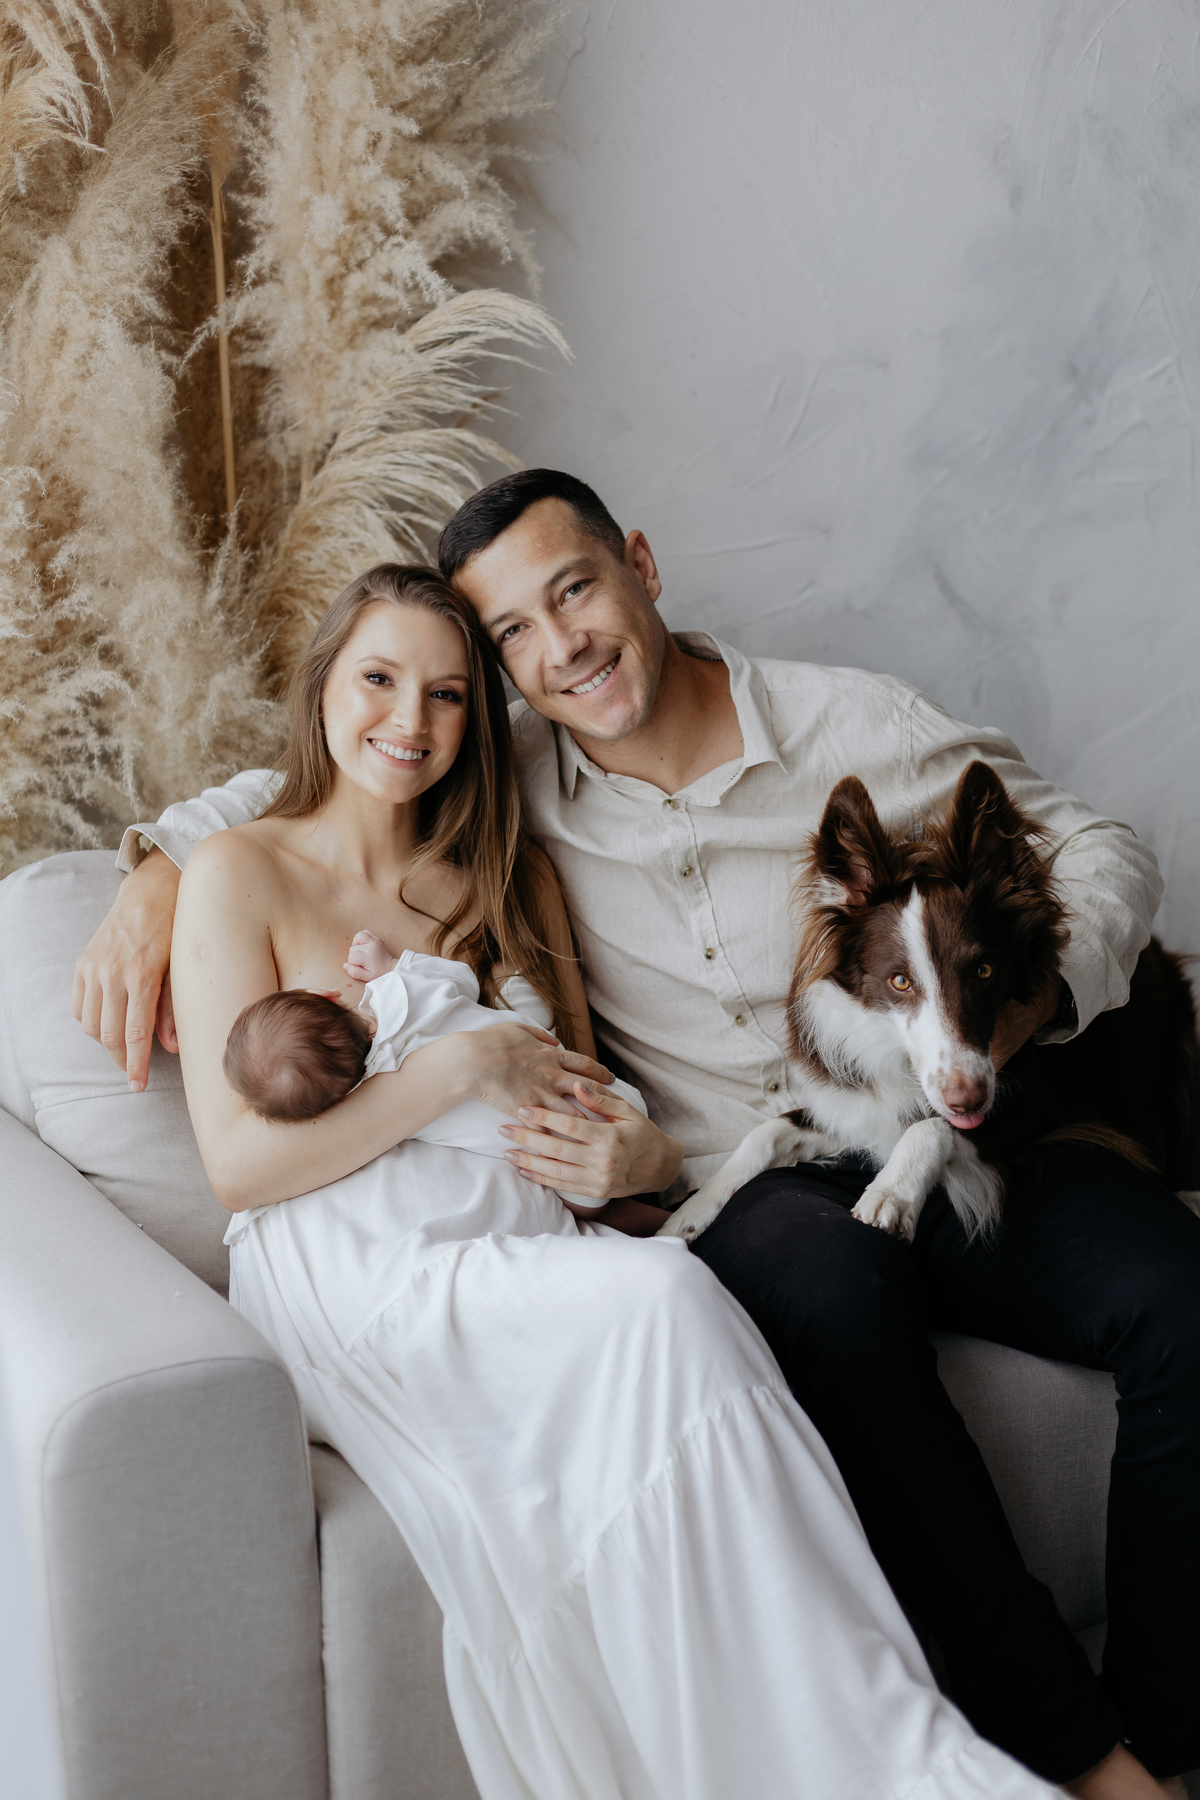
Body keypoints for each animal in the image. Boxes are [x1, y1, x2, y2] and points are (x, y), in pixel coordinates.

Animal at [661, 760, 1198, 1245]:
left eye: (984, 972)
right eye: (899, 981)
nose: (969, 1098)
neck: (896, 1052)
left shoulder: (1044, 1109)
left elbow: (933, 1127)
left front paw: (892, 1192)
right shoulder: (859, 1106)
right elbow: (766, 1133)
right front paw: (688, 1213)